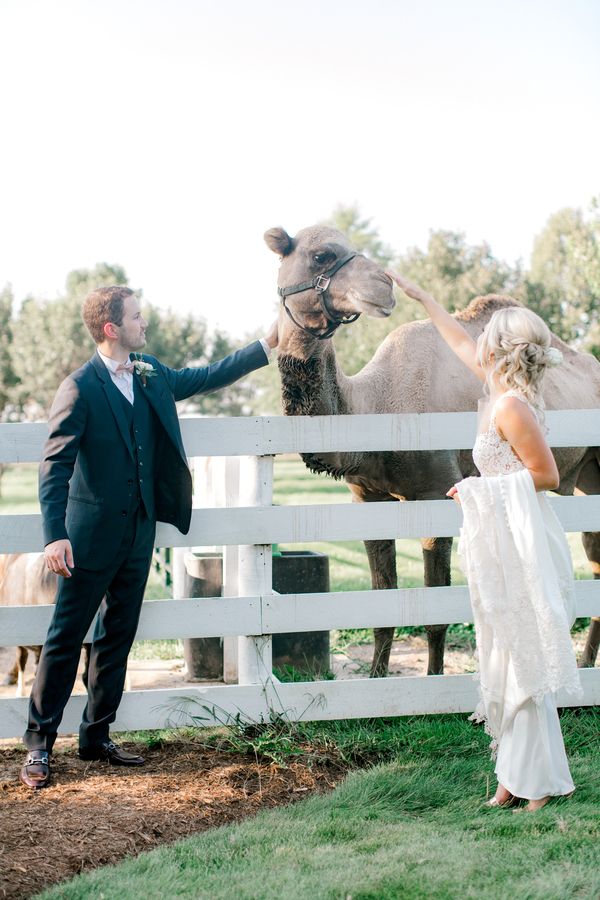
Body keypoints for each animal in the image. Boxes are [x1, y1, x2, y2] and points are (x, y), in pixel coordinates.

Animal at [266, 225, 600, 676]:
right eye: (322, 255)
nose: (384, 285)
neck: (379, 404)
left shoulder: (435, 493)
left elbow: (435, 615)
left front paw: (432, 678)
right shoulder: (368, 498)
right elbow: (381, 609)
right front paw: (376, 678)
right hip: (587, 477)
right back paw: (582, 663)